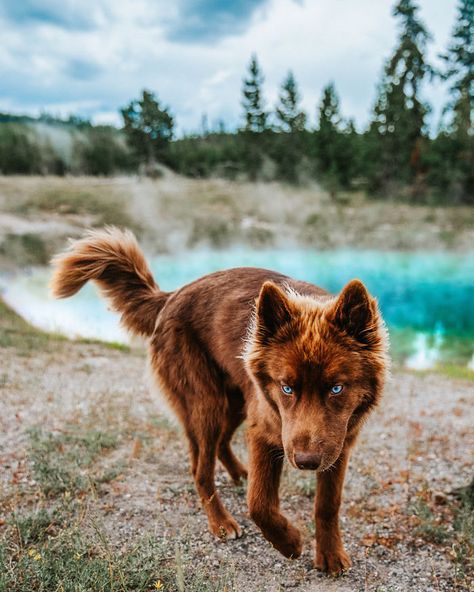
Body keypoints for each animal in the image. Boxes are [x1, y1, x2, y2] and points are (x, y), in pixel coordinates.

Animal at [52, 227, 388, 572]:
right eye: (287, 388)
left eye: (336, 389)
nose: (306, 462)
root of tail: (170, 297)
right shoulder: (267, 431)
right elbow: (259, 503)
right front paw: (289, 542)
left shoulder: (338, 443)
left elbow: (328, 504)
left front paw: (330, 554)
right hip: (209, 403)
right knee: (201, 470)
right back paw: (220, 521)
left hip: (237, 401)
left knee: (217, 445)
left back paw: (240, 472)